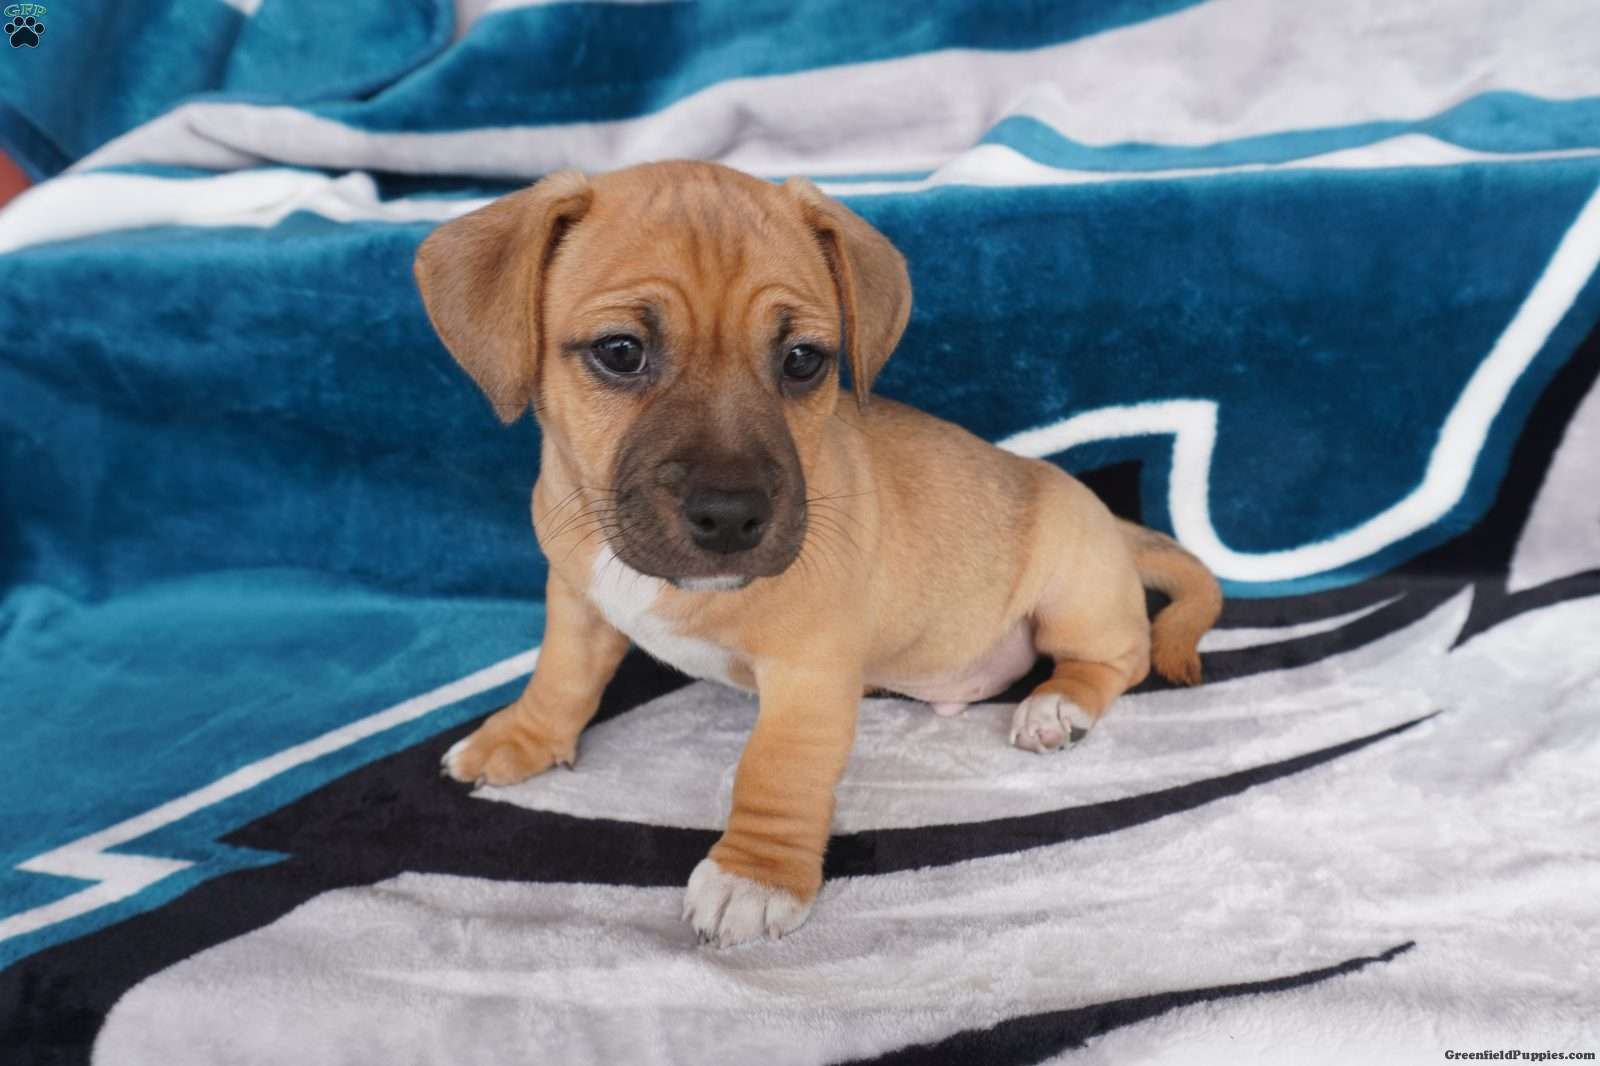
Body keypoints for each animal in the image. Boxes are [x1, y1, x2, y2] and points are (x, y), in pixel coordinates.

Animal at [409, 156, 1209, 941]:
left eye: (802, 361)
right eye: (620, 352)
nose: (732, 517)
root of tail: (1110, 522)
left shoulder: (809, 672)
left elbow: (776, 768)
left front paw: (753, 875)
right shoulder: (578, 601)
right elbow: (560, 679)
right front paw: (520, 738)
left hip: (1073, 595)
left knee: (1121, 656)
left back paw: (1056, 707)